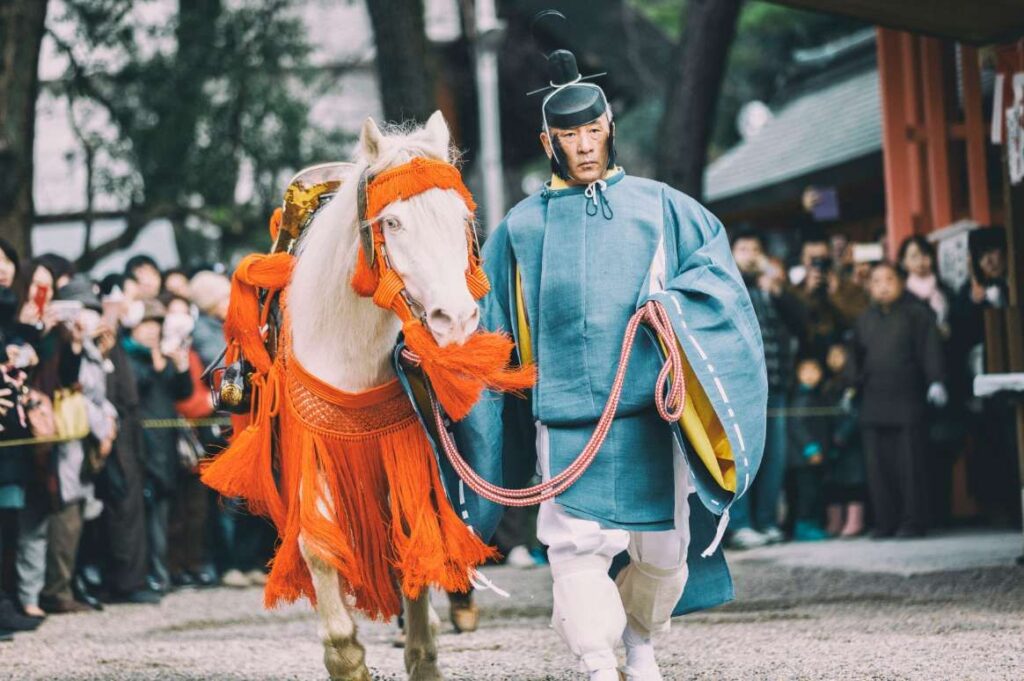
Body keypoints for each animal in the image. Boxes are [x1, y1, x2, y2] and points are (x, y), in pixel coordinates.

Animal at [286, 111, 477, 679]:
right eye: (391, 223)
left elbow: (415, 534)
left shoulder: (405, 444)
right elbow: (319, 545)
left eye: (461, 217)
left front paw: (423, 652)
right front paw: (346, 656)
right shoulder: (315, 449)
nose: (456, 319)